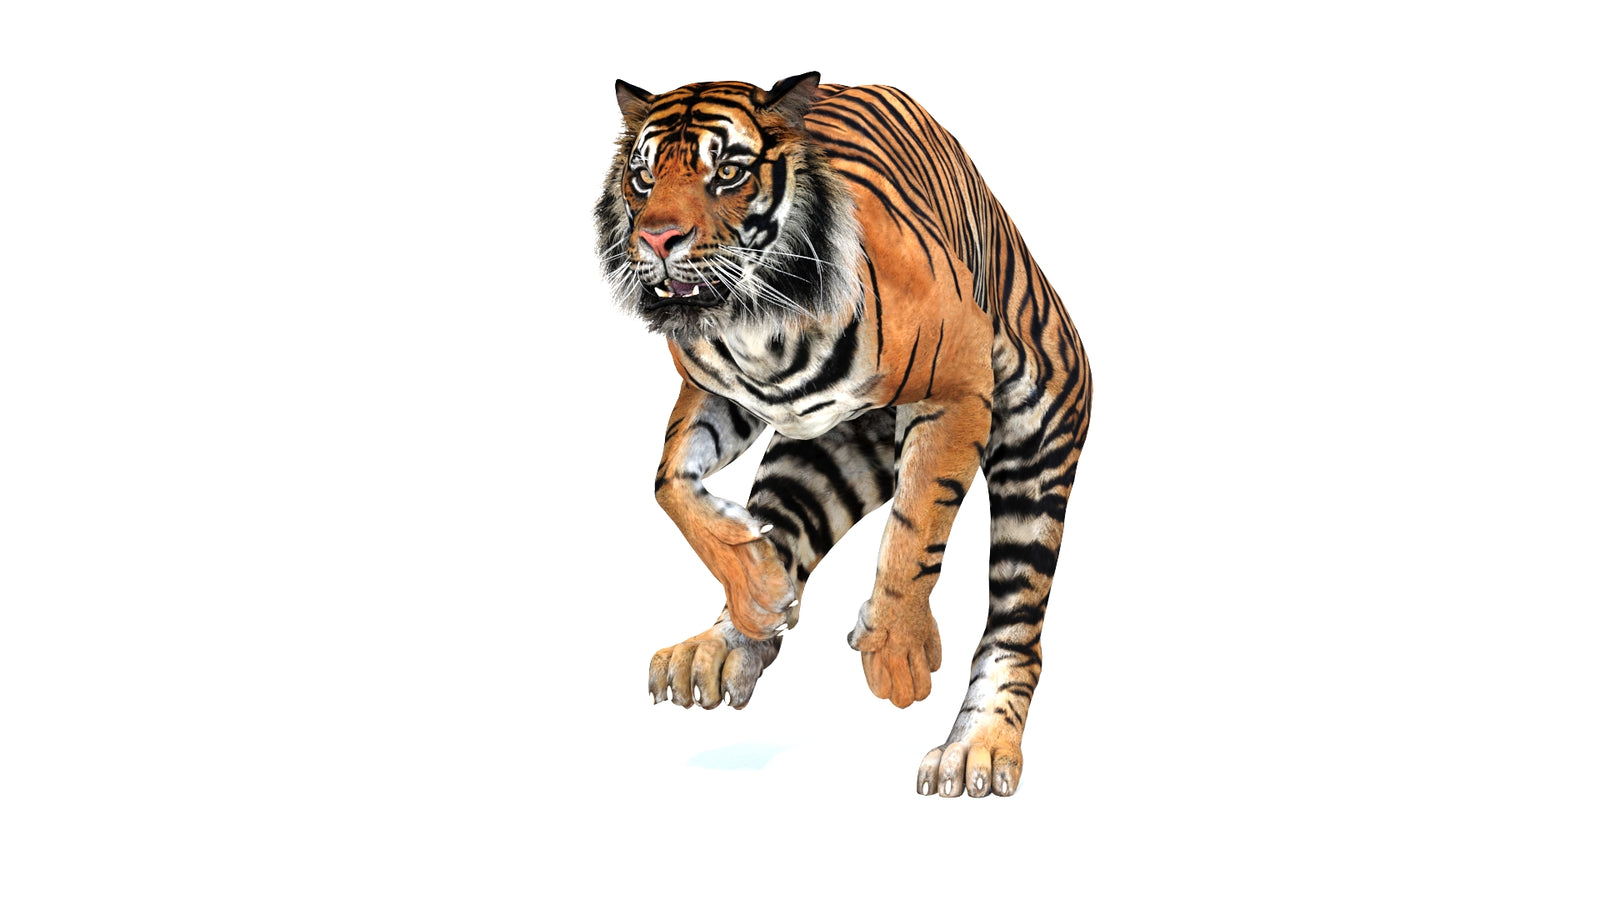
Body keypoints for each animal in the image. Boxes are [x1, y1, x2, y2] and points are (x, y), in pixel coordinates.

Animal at [594, 73, 1091, 797]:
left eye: (729, 172)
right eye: (643, 176)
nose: (657, 239)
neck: (758, 328)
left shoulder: (958, 388)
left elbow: (914, 534)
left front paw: (899, 657)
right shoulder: (715, 390)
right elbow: (669, 483)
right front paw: (760, 590)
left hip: (1035, 452)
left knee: (1016, 629)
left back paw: (976, 748)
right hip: (820, 460)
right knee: (782, 529)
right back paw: (725, 640)